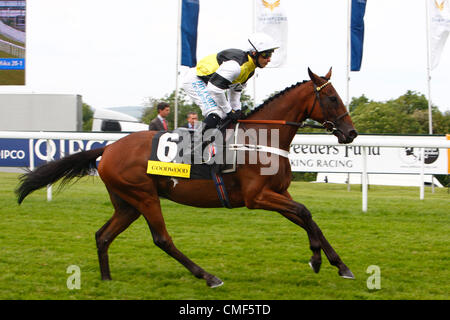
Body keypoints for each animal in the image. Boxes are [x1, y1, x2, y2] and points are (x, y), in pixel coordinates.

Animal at [14, 67, 358, 288]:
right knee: (162, 239)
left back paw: (107, 279)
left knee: (103, 235)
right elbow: (305, 212)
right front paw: (318, 260)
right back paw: (208, 276)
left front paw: (337, 264)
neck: (261, 138)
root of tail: (108, 147)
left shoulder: (278, 194)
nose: (351, 133)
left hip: (127, 204)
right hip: (144, 196)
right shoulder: (257, 197)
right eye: (331, 98)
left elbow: (307, 218)